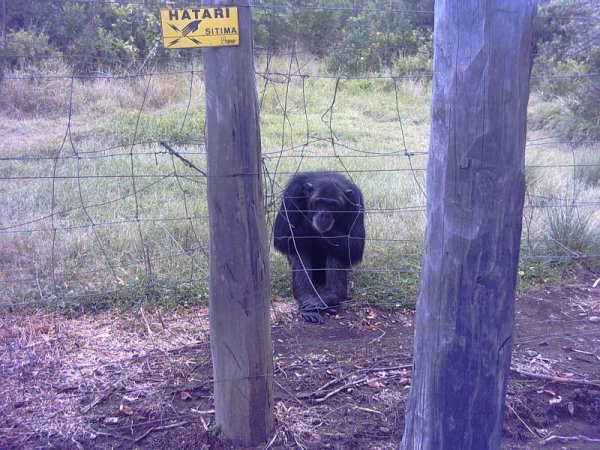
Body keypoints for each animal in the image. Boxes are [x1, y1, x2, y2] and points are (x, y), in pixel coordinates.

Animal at [274, 171, 366, 322]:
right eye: (319, 202)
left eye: (333, 205)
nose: (324, 214)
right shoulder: (292, 193)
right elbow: (282, 235)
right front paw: (310, 220)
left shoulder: (356, 201)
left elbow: (356, 245)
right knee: (298, 246)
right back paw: (306, 298)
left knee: (338, 249)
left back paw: (330, 296)